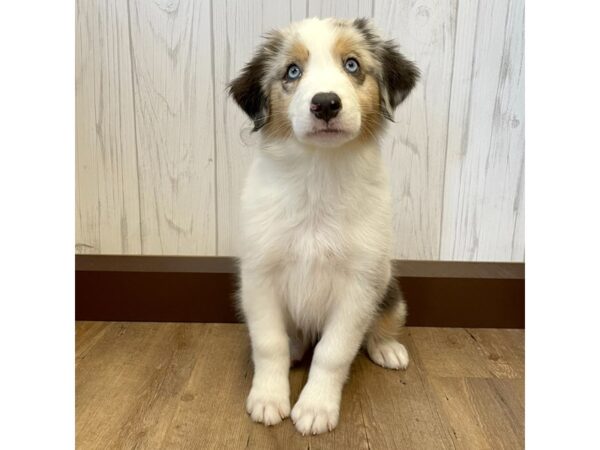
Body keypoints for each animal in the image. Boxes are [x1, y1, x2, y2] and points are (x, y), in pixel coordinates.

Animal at [227, 18, 420, 436]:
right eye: (292, 72)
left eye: (352, 65)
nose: (327, 103)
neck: (317, 175)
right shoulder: (260, 275)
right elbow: (268, 343)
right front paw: (268, 398)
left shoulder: (359, 284)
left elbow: (333, 352)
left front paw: (315, 407)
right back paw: (296, 347)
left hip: (389, 288)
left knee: (382, 323)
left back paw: (387, 347)